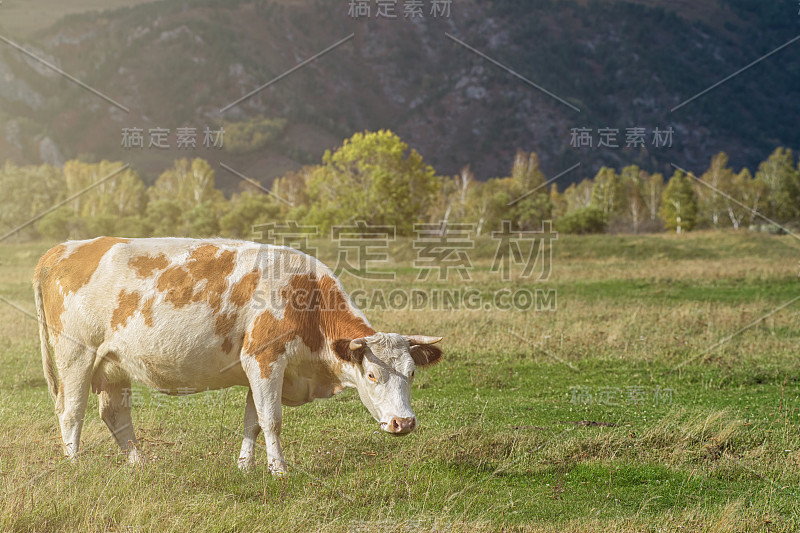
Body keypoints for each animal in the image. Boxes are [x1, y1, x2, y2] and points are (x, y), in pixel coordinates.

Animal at [32, 237, 444, 474]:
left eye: (412, 373)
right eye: (372, 375)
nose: (404, 423)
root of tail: (61, 249)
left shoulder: (260, 371)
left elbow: (253, 421)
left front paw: (246, 467)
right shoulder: (264, 359)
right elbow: (272, 420)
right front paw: (279, 471)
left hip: (113, 364)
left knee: (115, 414)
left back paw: (140, 464)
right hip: (76, 356)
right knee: (71, 412)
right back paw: (75, 465)